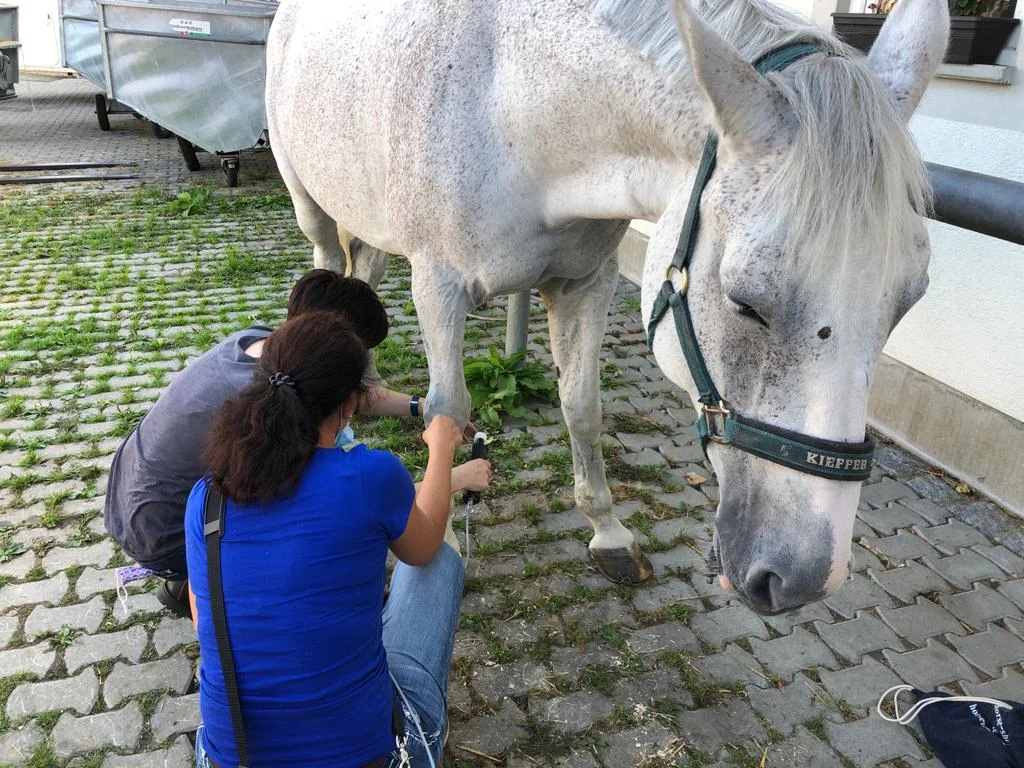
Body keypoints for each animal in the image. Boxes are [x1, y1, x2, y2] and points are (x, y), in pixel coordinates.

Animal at [265, 0, 948, 614]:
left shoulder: (583, 286)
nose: (804, 578)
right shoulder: (440, 287)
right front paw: (439, 545)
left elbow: (582, 407)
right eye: (745, 302)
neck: (510, 105)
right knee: (330, 273)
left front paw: (608, 533)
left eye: (906, 305)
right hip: (312, 207)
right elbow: (447, 412)